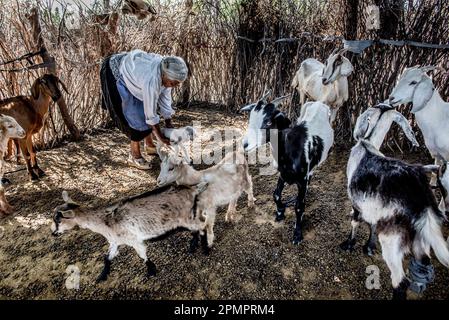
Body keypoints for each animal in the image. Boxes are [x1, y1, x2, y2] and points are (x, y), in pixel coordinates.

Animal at [50, 185, 206, 282]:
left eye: (58, 220)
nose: (53, 233)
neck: (106, 221)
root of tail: (192, 189)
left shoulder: (134, 240)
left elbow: (143, 256)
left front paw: (151, 271)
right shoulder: (114, 242)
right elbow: (107, 258)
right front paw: (102, 276)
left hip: (186, 218)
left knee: (201, 226)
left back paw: (197, 247)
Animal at [242, 93, 332, 245]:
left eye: (268, 122)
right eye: (251, 118)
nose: (245, 144)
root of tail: (319, 103)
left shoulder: (302, 180)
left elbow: (299, 206)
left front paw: (297, 234)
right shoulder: (283, 174)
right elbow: (276, 195)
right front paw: (280, 212)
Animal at [340, 105, 448, 300]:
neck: (367, 145)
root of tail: (421, 198)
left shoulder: (356, 203)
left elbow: (355, 221)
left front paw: (349, 244)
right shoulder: (374, 208)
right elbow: (372, 224)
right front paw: (369, 247)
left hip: (392, 239)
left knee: (400, 281)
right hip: (422, 239)